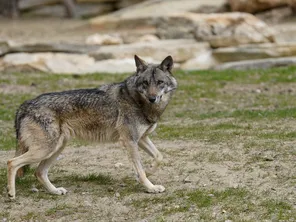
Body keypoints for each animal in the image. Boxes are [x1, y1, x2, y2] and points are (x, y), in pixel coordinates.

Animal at [6, 54, 177, 199]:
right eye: (145, 83)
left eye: (160, 82)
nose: (152, 98)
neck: (137, 100)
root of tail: (24, 106)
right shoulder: (130, 141)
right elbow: (140, 170)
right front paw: (150, 187)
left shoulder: (140, 139)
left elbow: (159, 157)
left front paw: (149, 172)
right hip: (45, 150)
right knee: (12, 162)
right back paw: (11, 194)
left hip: (55, 149)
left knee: (39, 172)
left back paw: (55, 191)